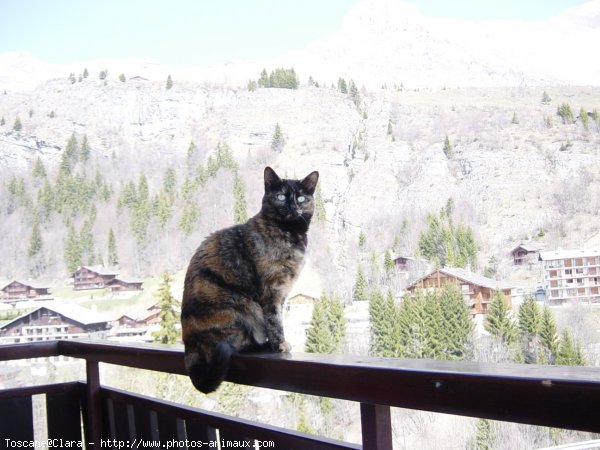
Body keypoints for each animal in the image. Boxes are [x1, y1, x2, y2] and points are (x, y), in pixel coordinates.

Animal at [180, 166, 318, 394]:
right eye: (281, 197)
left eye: (300, 198)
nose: (292, 207)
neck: (289, 234)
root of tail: (188, 343)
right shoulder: (271, 290)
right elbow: (274, 320)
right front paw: (280, 344)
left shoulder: (282, 293)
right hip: (241, 305)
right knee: (237, 345)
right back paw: (262, 344)